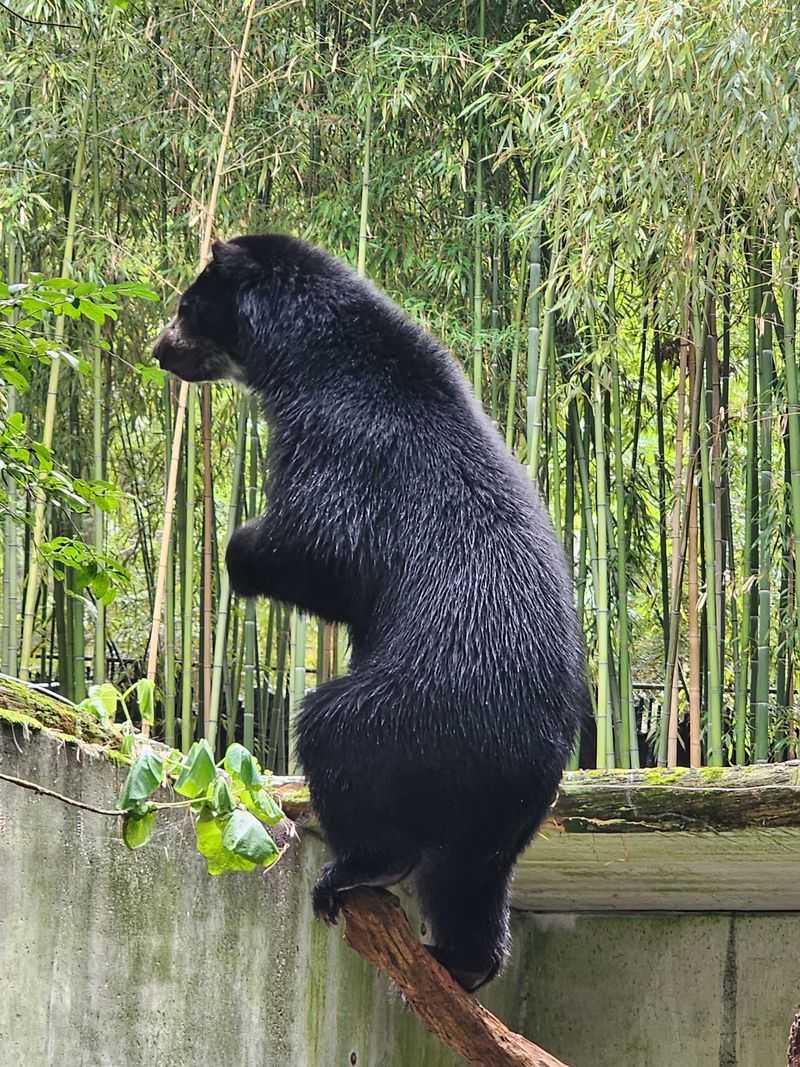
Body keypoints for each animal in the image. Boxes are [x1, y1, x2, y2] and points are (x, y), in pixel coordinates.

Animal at [153, 234, 587, 992]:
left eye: (185, 306)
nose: (157, 348)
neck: (309, 357)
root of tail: (531, 750)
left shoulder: (344, 438)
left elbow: (320, 543)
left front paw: (239, 548)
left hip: (409, 713)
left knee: (338, 738)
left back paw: (358, 869)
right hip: (504, 816)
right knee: (469, 880)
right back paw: (464, 962)